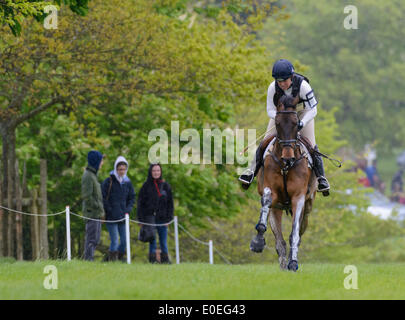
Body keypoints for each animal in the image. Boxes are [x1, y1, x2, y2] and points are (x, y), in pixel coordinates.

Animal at [248, 94, 318, 270]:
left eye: (296, 124)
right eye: (278, 124)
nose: (288, 158)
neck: (286, 166)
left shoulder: (298, 198)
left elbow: (295, 234)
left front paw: (293, 263)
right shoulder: (271, 192)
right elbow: (265, 203)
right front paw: (257, 242)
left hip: (308, 206)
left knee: (300, 229)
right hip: (277, 208)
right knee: (279, 241)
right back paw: (282, 264)